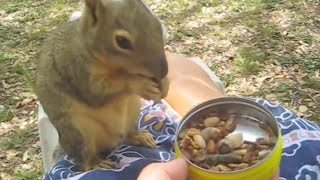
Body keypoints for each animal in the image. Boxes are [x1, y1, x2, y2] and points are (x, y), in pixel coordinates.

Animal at [35, 0, 170, 172]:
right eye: (121, 41)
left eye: (158, 25)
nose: (163, 71)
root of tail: (111, 141)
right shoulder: (77, 70)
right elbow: (97, 91)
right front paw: (141, 84)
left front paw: (165, 83)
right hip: (79, 131)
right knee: (84, 157)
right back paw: (96, 163)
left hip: (132, 112)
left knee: (127, 134)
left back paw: (139, 136)